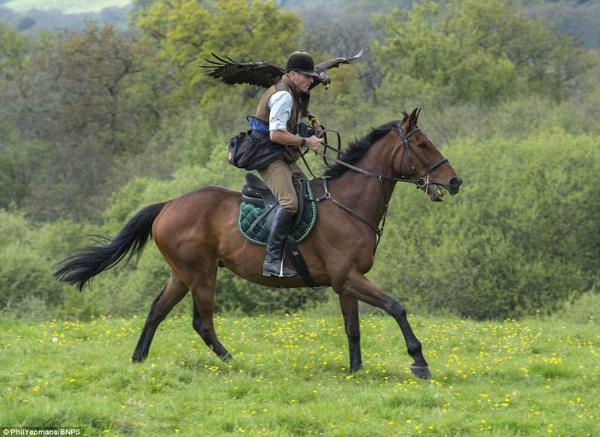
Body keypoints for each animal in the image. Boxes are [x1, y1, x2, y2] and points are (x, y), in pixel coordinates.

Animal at [54, 107, 462, 376]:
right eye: (422, 144)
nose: (455, 181)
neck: (349, 205)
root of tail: (168, 205)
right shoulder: (349, 277)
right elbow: (396, 307)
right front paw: (419, 360)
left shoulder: (345, 282)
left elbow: (353, 328)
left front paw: (356, 370)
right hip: (201, 274)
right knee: (202, 322)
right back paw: (233, 361)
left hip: (182, 274)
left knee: (157, 310)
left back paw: (139, 359)